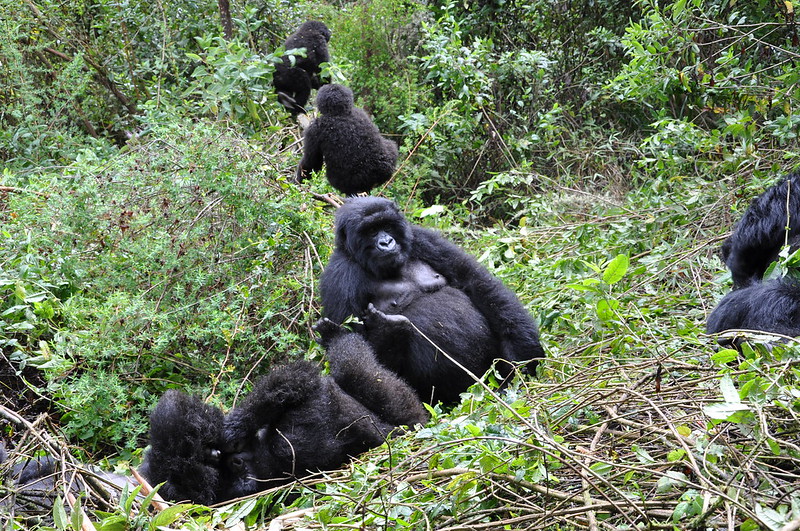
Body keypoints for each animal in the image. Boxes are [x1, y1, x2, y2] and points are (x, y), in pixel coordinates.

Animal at [138, 322, 428, 504]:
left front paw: (229, 428)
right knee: (358, 372)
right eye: (236, 467)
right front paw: (234, 430)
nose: (232, 459)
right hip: (407, 419)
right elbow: (297, 379)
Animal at [318, 197, 544, 406]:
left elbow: (476, 282)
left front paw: (522, 357)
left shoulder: (421, 238)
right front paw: (388, 330)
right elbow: (358, 357)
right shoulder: (339, 277)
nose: (386, 243)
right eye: (371, 230)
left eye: (387, 226)